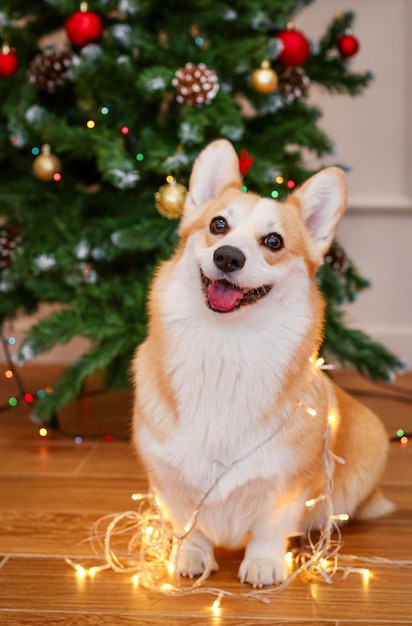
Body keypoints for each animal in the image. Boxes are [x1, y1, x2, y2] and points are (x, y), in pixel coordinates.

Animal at [132, 138, 392, 584]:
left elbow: (271, 526)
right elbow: (187, 522)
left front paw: (264, 563)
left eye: (273, 241)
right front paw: (191, 556)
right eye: (218, 225)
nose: (228, 257)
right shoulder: (167, 478)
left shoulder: (289, 483)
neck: (226, 348)